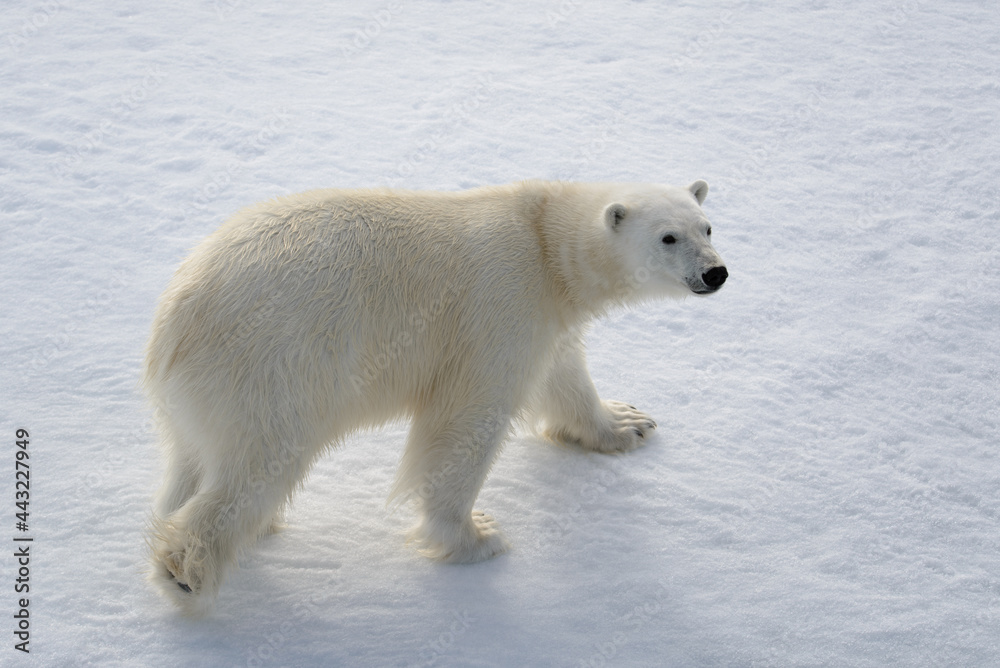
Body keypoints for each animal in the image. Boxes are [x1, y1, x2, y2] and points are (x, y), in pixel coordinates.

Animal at [143, 179, 728, 616]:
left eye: (707, 226)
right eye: (668, 237)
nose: (715, 272)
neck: (543, 239)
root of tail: (176, 321)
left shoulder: (545, 318)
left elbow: (564, 374)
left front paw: (626, 423)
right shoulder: (500, 306)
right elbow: (468, 420)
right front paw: (475, 536)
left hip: (202, 397)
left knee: (191, 462)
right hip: (272, 368)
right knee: (258, 464)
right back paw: (187, 572)